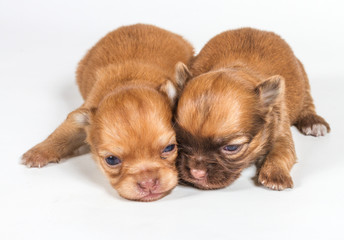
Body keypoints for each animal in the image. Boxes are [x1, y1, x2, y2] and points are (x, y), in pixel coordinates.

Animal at [22, 24, 194, 201]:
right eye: (111, 160)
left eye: (169, 148)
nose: (148, 183)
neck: (128, 82)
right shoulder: (82, 115)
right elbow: (64, 133)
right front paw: (39, 152)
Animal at [176, 27, 330, 190]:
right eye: (179, 140)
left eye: (232, 148)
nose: (196, 173)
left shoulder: (281, 131)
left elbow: (281, 152)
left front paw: (275, 174)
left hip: (303, 79)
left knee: (307, 103)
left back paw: (313, 122)